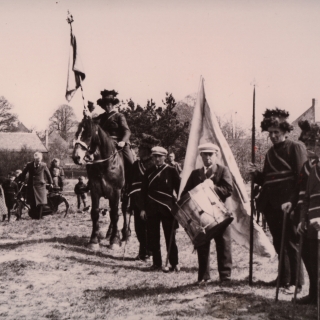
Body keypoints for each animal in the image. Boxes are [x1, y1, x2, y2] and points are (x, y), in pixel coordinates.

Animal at [72, 114, 126, 251]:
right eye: (77, 133)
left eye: (88, 135)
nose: (76, 157)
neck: (105, 165)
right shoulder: (95, 191)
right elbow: (95, 213)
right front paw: (94, 240)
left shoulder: (116, 192)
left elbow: (115, 214)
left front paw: (115, 241)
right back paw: (110, 233)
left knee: (122, 212)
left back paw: (124, 235)